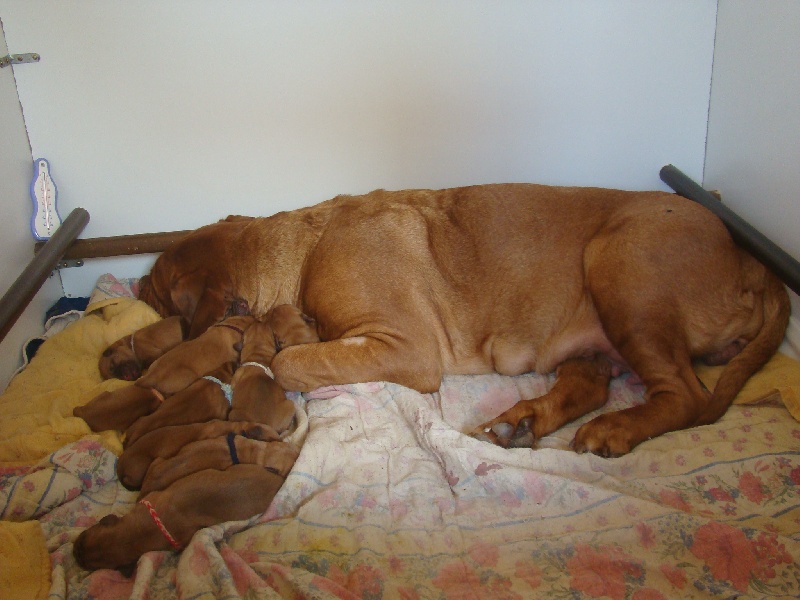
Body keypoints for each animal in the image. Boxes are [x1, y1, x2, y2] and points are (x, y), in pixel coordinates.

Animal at [139, 183, 792, 454]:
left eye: (162, 286)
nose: (139, 281)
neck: (299, 250)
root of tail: (749, 259)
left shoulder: (405, 348)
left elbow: (295, 361)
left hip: (620, 265)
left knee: (686, 396)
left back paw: (615, 430)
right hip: (593, 332)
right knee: (590, 385)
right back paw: (522, 422)